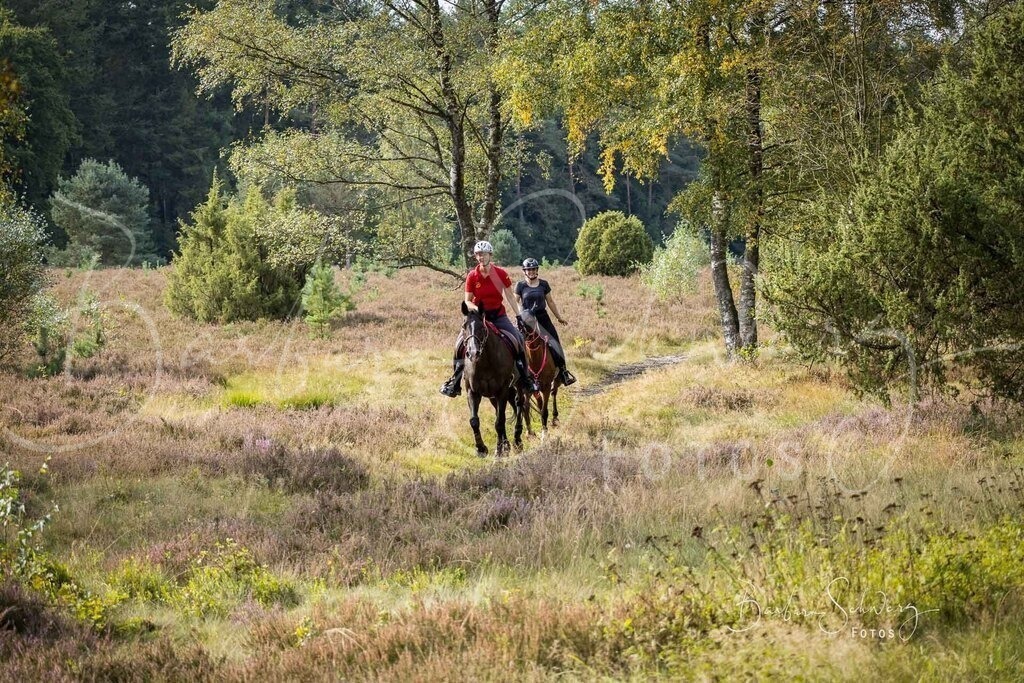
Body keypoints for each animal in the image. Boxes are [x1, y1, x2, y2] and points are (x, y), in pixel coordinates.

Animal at [460, 302, 524, 456]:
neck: (485, 362)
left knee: (519, 404)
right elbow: (474, 421)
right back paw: (506, 445)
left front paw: (499, 451)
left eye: (482, 327)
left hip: (517, 385)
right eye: (464, 326)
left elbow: (499, 422)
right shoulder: (472, 391)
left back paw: (517, 440)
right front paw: (481, 448)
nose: (473, 353)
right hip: (493, 396)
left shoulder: (502, 390)